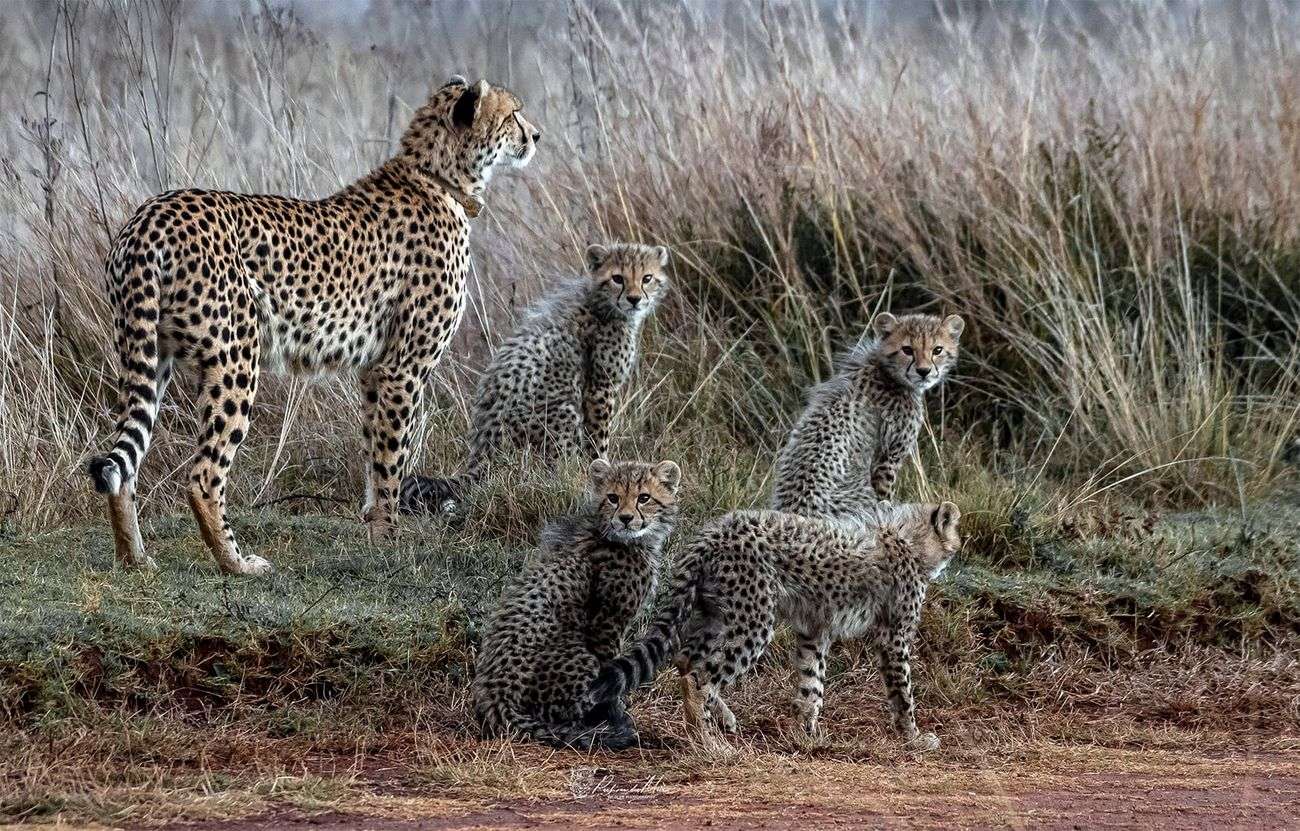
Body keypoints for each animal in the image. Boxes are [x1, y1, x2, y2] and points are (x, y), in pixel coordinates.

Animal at [86, 76, 540, 572]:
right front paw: (390, 543)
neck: (439, 175)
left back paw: (134, 559)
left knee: (126, 462)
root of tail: (152, 212)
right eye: (514, 113)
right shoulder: (403, 368)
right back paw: (237, 563)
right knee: (203, 475)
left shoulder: (375, 370)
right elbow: (392, 459)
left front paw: (373, 529)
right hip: (235, 358)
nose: (536, 135)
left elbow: (375, 451)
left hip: (150, 351)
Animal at [400, 240, 670, 514]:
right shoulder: (599, 388)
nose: (634, 299)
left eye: (647, 278)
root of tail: (481, 453)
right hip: (562, 411)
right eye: (618, 278)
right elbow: (598, 440)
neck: (601, 302)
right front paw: (602, 472)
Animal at [475, 457, 681, 749]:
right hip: (581, 657)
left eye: (644, 498)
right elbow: (610, 671)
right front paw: (615, 710)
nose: (625, 518)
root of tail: (495, 699)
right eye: (613, 498)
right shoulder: (607, 622)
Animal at [590, 504, 967, 749]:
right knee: (700, 675)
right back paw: (710, 742)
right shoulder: (893, 636)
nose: (958, 546)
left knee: (686, 659)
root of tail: (716, 528)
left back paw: (719, 720)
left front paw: (808, 735)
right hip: (753, 620)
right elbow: (903, 691)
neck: (909, 539)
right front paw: (913, 736)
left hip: (716, 614)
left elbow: (812, 684)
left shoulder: (815, 630)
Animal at [769, 312, 967, 520]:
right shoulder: (887, 458)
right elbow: (886, 495)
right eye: (907, 349)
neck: (887, 372)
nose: (923, 371)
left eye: (937, 350)